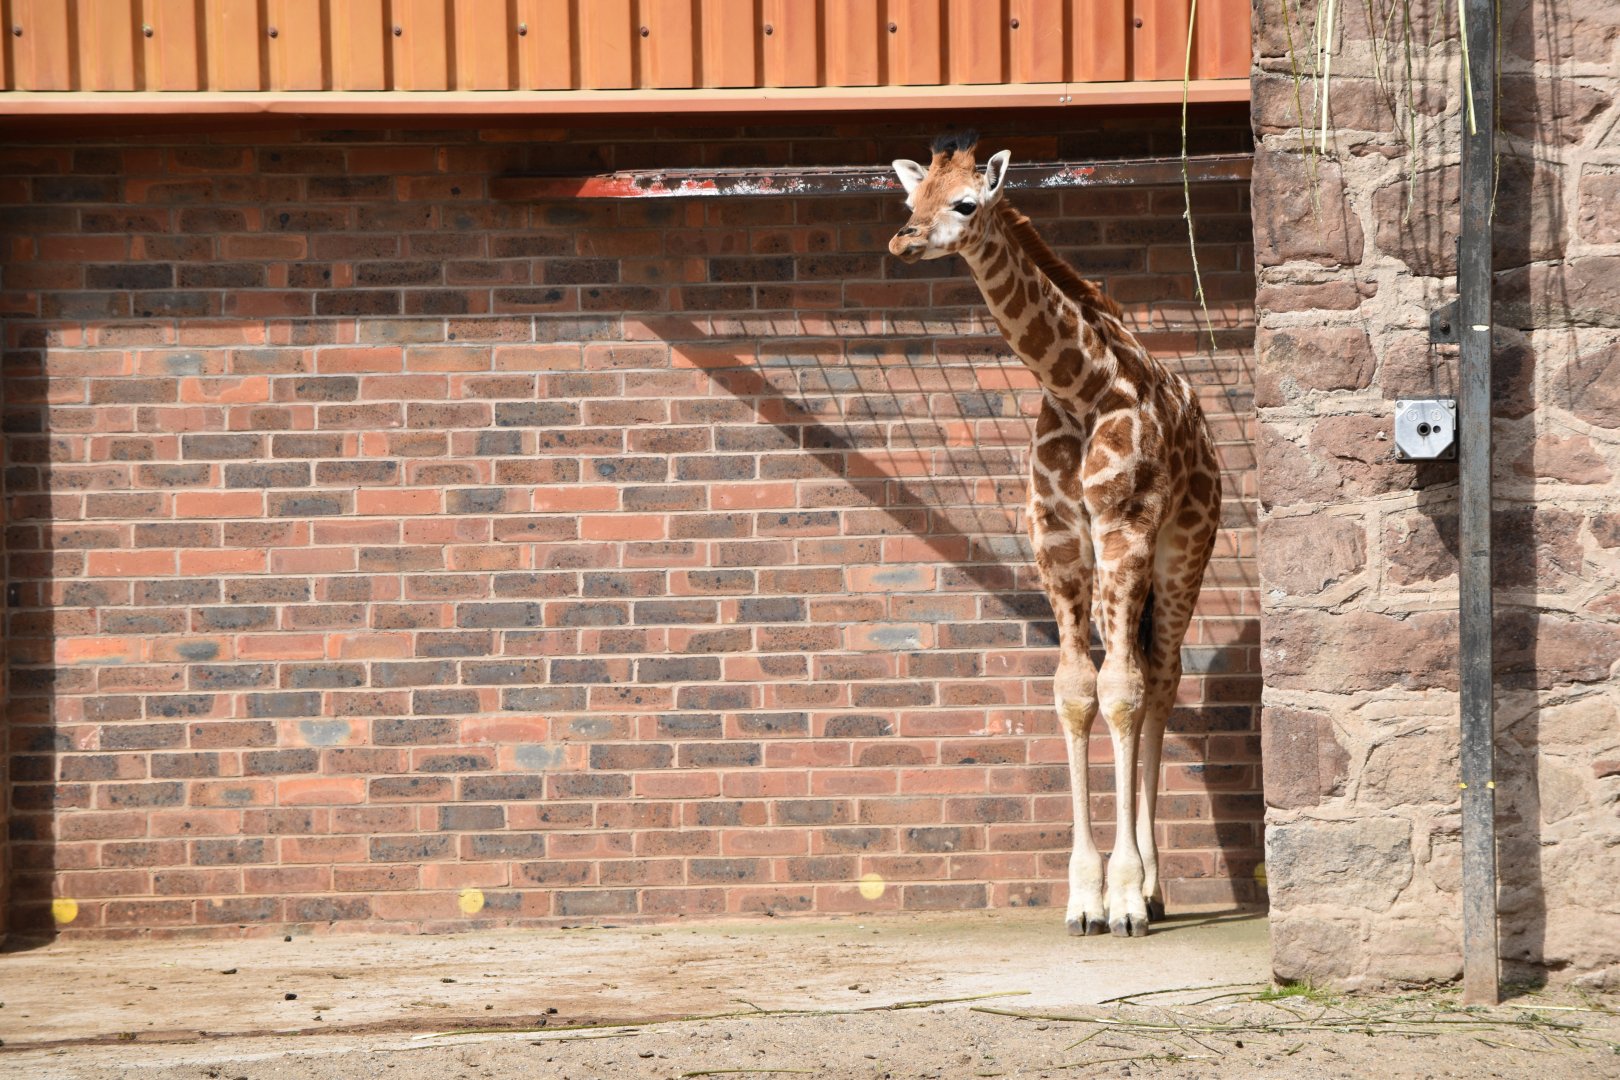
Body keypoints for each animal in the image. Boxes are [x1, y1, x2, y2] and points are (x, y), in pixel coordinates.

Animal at [887, 132, 1221, 937]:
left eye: (965, 203)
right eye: (910, 197)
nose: (902, 240)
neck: (1079, 388)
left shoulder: (1125, 528)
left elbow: (1122, 691)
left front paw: (1123, 897)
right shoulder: (1059, 541)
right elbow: (1075, 689)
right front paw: (1083, 899)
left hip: (1184, 549)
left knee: (1161, 679)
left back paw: (1153, 890)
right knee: (1139, 673)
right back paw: (1151, 891)